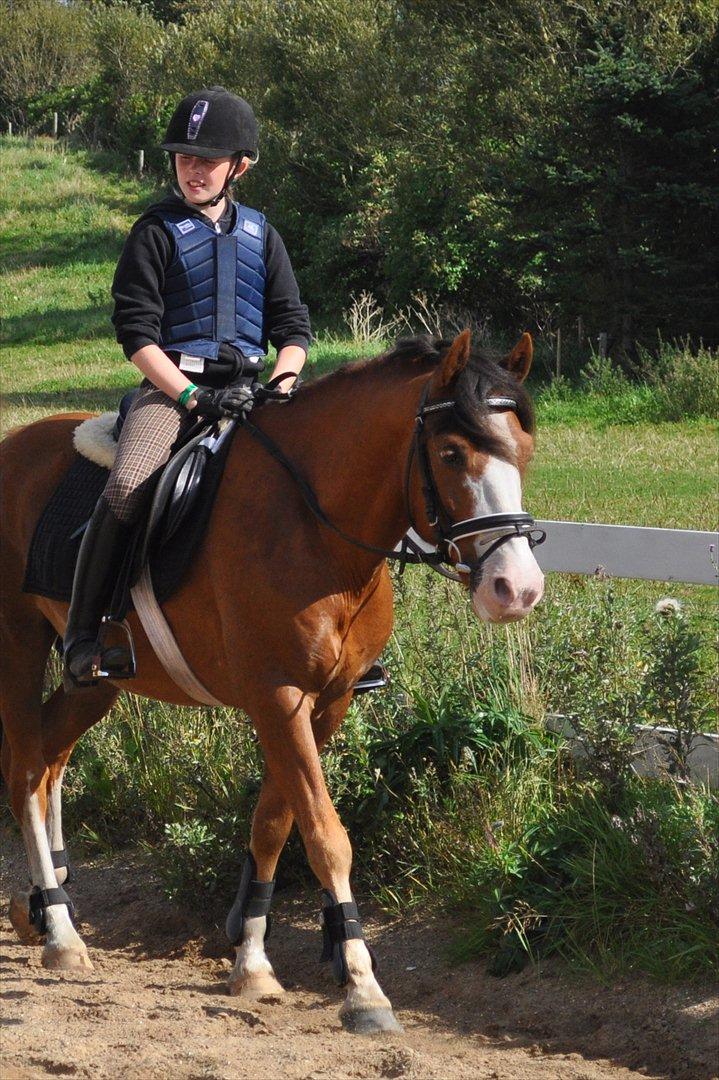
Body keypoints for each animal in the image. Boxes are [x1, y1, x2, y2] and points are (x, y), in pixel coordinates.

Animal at [0, 326, 537, 1028]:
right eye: (450, 453)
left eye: (524, 451)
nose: (517, 589)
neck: (313, 525)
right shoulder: (277, 698)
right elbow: (325, 834)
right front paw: (362, 987)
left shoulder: (326, 702)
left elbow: (275, 822)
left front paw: (252, 961)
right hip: (17, 641)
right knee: (25, 772)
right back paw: (61, 934)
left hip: (96, 680)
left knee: (49, 762)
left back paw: (40, 906)